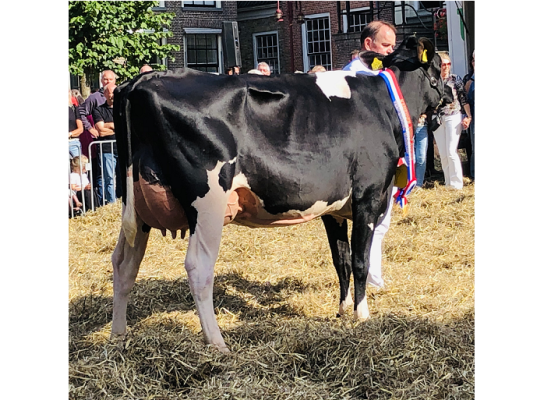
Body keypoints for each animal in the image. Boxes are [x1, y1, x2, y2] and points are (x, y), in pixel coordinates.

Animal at [110, 36, 450, 352]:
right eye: (437, 67)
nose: (451, 95)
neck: (384, 103)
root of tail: (140, 81)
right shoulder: (368, 196)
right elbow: (360, 261)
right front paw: (362, 315)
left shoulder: (333, 209)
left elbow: (340, 261)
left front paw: (342, 311)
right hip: (207, 201)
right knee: (198, 267)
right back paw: (218, 344)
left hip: (137, 207)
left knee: (123, 264)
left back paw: (118, 336)